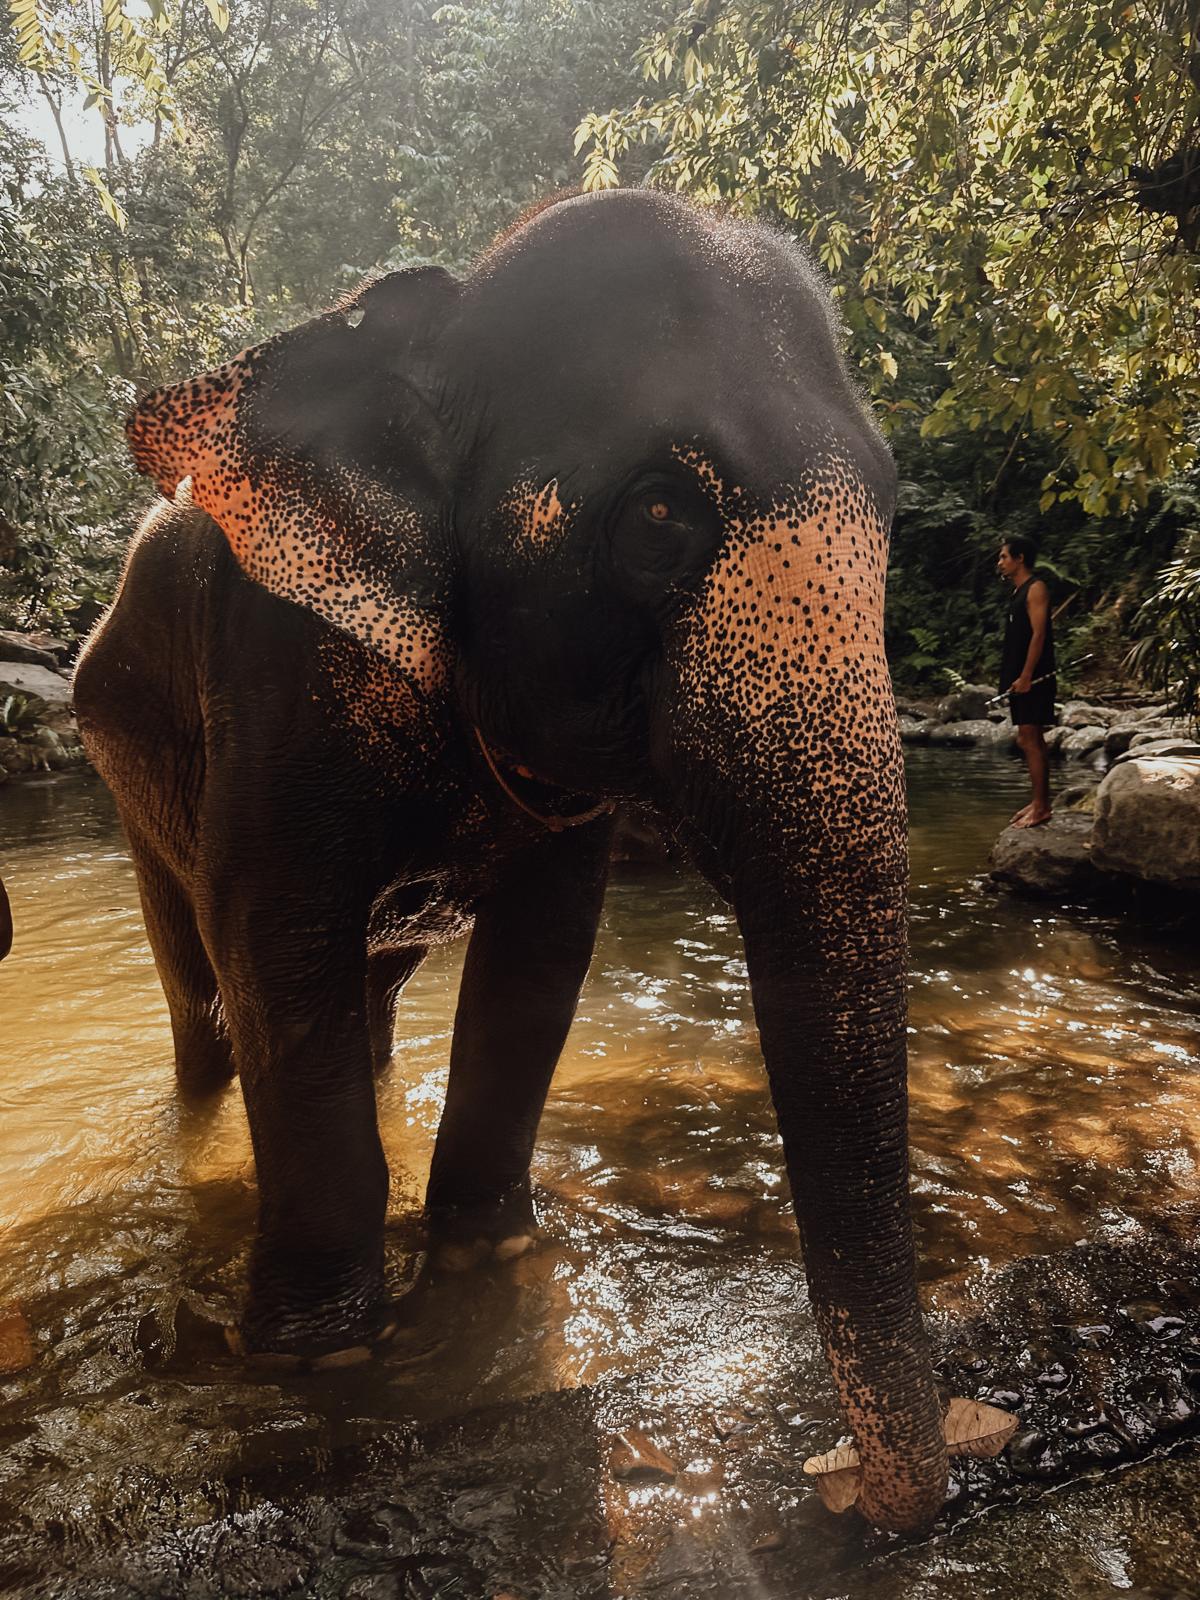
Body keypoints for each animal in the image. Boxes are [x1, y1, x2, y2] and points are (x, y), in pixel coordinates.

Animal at [74, 189, 947, 1532]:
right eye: (658, 515)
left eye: (895, 516)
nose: (849, 1488)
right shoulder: (276, 666)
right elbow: (271, 933)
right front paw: (319, 1357)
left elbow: (542, 954)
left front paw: (491, 1256)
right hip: (128, 768)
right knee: (210, 1011)